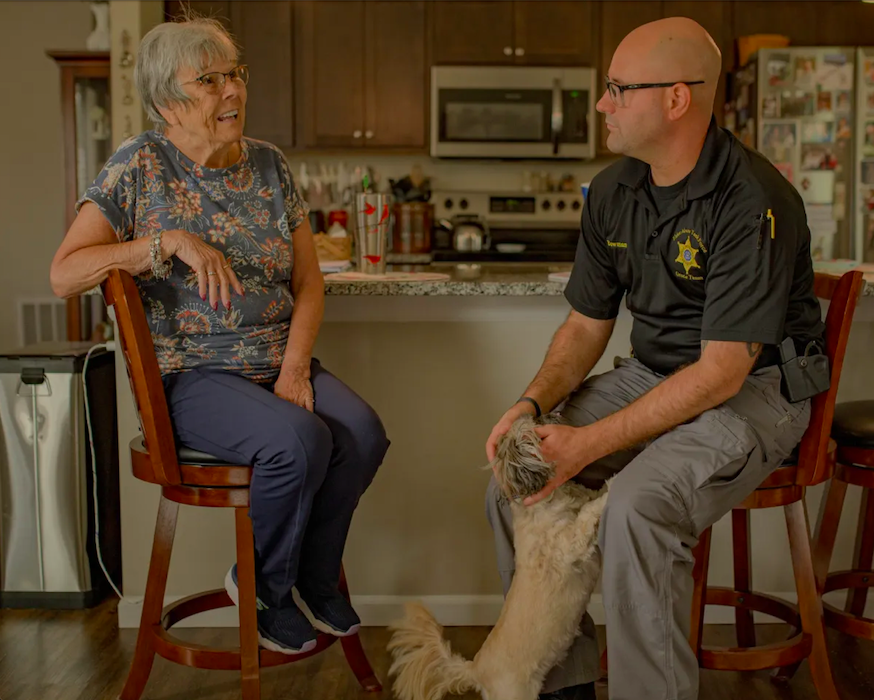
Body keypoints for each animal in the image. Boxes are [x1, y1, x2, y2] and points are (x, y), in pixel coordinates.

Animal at [388, 416, 608, 700]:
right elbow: (589, 514)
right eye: (536, 424)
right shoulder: (569, 544)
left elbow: (592, 497)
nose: (552, 414)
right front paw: (612, 487)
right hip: (517, 694)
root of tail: (475, 669)